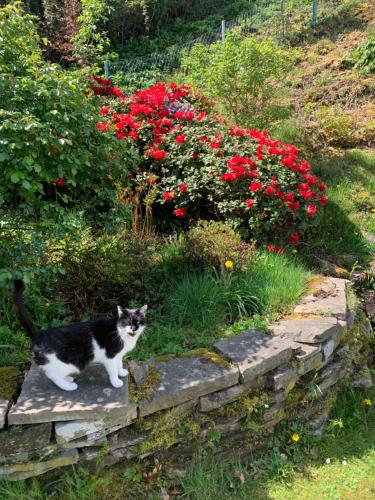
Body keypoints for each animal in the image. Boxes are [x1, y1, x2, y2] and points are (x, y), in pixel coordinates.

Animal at [12, 282, 147, 390]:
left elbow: (119, 364)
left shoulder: (118, 355)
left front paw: (122, 372)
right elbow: (113, 370)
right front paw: (116, 382)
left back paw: (67, 379)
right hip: (67, 363)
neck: (119, 332)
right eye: (128, 322)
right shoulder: (110, 356)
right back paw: (68, 386)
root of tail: (39, 334)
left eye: (138, 322)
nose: (134, 328)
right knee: (52, 375)